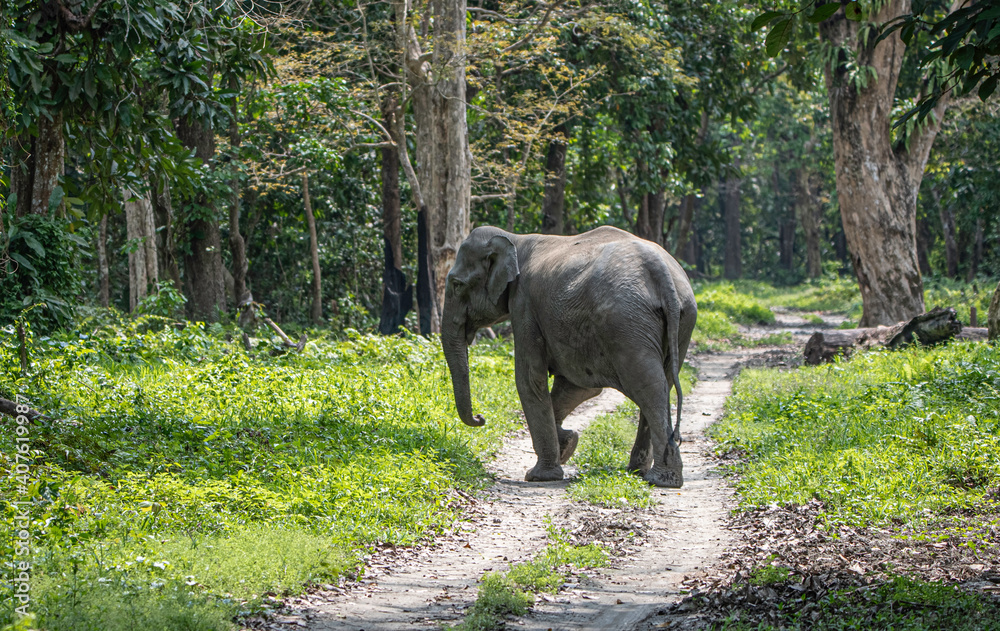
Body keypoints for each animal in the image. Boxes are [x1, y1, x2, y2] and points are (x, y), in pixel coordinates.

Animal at [441, 225, 697, 488]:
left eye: (457, 284)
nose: (480, 417)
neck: (515, 240)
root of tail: (663, 274)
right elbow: (577, 387)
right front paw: (568, 444)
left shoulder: (524, 305)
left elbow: (530, 380)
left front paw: (539, 476)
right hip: (681, 319)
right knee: (664, 382)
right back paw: (640, 473)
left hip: (626, 322)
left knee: (648, 386)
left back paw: (661, 480)